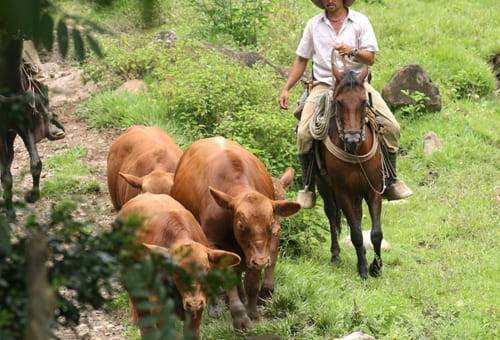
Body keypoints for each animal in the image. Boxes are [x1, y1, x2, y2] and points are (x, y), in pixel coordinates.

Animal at [170, 137, 300, 330]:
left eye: (270, 224)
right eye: (241, 224)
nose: (261, 261)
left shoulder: (258, 251)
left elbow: (252, 282)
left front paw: (252, 312)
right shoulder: (215, 244)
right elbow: (225, 278)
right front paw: (240, 317)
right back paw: (216, 307)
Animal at [318, 50, 384, 278]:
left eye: (364, 101)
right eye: (339, 102)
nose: (353, 140)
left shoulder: (374, 189)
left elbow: (376, 233)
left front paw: (376, 267)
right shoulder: (343, 192)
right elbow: (355, 233)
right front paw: (363, 269)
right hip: (324, 187)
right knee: (331, 214)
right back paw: (336, 255)